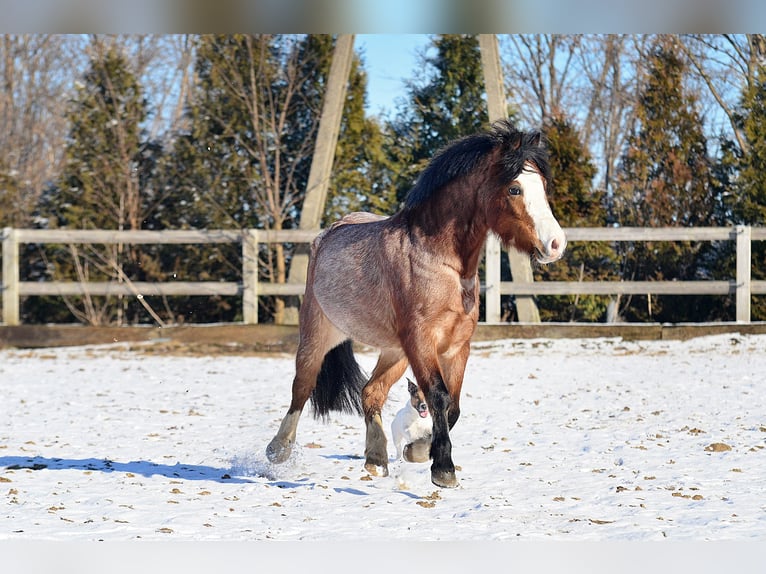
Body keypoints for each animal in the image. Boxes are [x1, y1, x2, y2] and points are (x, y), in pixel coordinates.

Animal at [268, 119, 568, 488]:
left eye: (542, 185)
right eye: (515, 189)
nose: (556, 244)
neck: (439, 261)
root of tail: (328, 234)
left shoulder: (456, 347)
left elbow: (452, 405)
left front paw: (423, 452)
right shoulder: (422, 342)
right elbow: (438, 396)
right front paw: (443, 468)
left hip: (394, 352)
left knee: (371, 392)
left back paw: (376, 458)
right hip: (318, 335)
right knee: (302, 387)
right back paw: (278, 450)